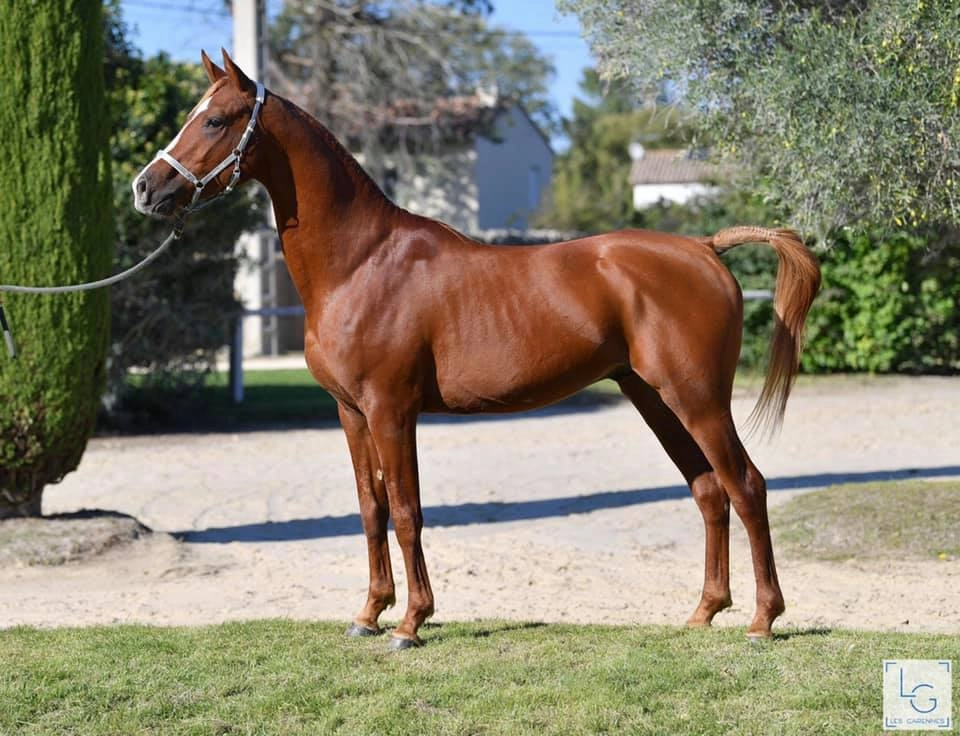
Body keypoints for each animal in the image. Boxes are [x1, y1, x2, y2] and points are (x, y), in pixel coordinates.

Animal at [133, 53, 824, 648]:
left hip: (698, 399)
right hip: (653, 397)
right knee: (709, 490)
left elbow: (407, 510)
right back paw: (703, 612)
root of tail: (705, 248)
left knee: (746, 485)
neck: (361, 262)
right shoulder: (351, 413)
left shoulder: (391, 410)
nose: (145, 187)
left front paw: (411, 622)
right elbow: (370, 508)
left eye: (215, 120)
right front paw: (368, 614)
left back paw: (763, 620)